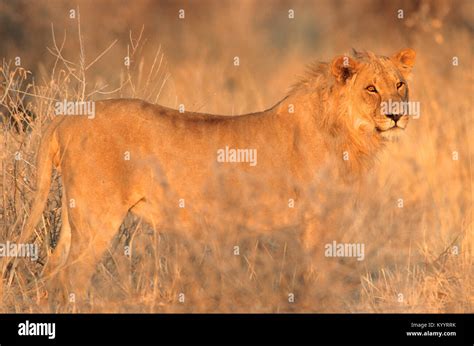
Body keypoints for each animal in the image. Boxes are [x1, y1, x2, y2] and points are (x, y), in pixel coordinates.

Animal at [15, 48, 414, 306]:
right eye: (371, 88)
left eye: (399, 85)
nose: (397, 115)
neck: (349, 133)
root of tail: (67, 117)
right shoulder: (317, 221)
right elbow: (317, 276)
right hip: (98, 215)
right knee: (72, 276)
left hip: (76, 215)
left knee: (53, 270)